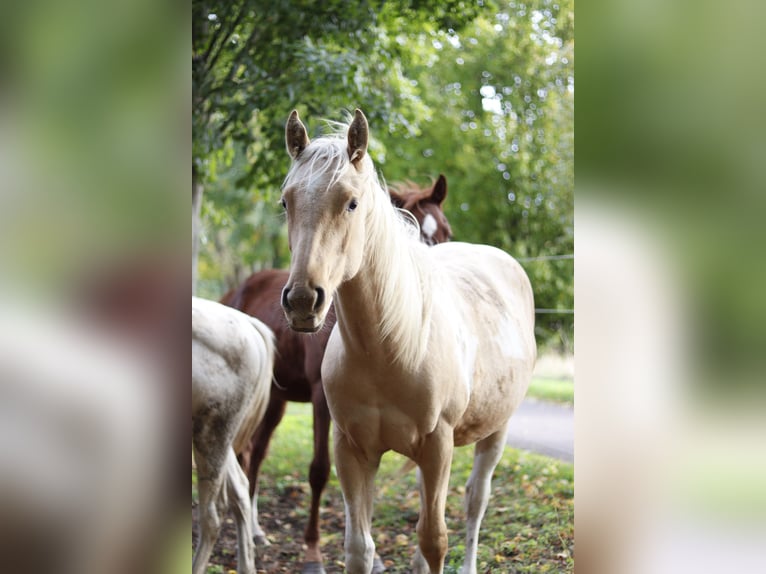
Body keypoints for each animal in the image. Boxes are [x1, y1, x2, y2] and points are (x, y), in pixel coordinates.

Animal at [219, 178, 452, 572]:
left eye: (445, 233)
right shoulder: (322, 401)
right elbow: (319, 470)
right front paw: (313, 552)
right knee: (250, 453)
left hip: (276, 400)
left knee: (257, 451)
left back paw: (256, 530)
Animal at [280, 109, 536, 574]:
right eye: (285, 202)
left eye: (351, 202)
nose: (304, 301)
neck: (387, 349)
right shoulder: (352, 449)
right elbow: (359, 547)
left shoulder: (438, 446)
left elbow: (434, 539)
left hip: (495, 432)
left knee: (475, 501)